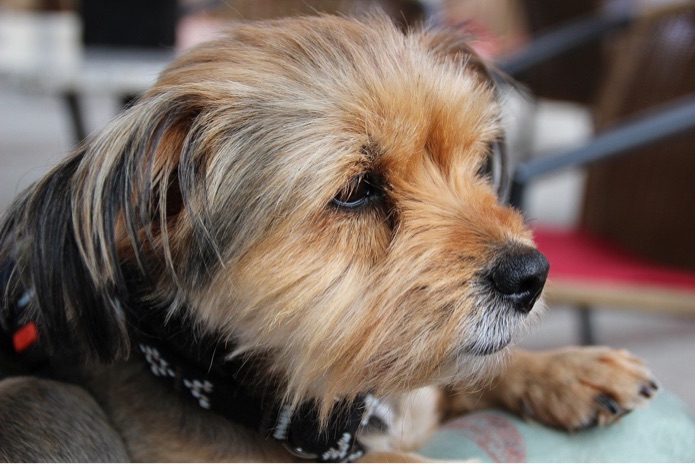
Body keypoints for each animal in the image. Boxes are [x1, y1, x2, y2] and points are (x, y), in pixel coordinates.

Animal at [1, 13, 656, 460]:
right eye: (356, 191)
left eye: (472, 166)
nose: (532, 275)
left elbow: (461, 377)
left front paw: (569, 369)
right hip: (43, 399)